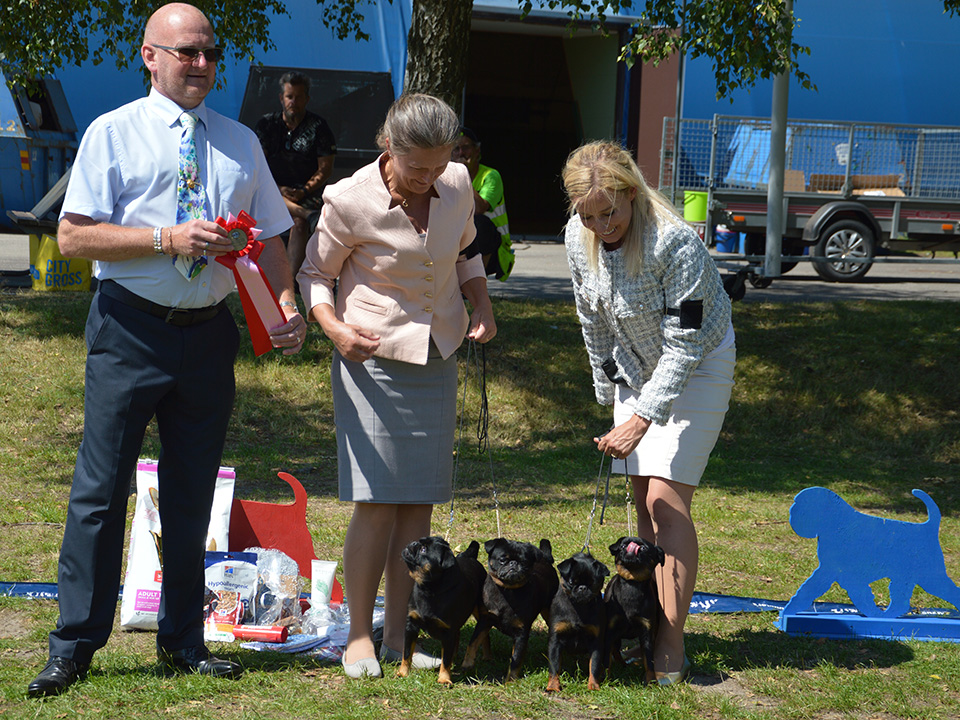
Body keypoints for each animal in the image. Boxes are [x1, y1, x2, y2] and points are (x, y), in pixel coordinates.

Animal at [400, 536, 488, 684]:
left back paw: (486, 656)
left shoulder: (447, 633)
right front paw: (402, 673)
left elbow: (445, 660)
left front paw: (444, 679)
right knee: (458, 636)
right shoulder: (411, 626)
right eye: (420, 543)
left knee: (484, 634)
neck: (430, 589)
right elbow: (406, 653)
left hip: (480, 611)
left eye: (423, 550)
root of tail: (469, 556)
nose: (414, 543)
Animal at [462, 536, 560, 684]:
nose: (513, 563)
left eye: (524, 562)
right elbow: (472, 643)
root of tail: (545, 559)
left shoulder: (521, 634)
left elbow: (516, 660)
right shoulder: (485, 620)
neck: (506, 591)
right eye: (503, 559)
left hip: (548, 611)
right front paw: (467, 663)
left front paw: (510, 682)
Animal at [548, 552, 608, 692]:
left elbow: (594, 665)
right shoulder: (555, 641)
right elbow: (554, 666)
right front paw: (553, 686)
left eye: (593, 583)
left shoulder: (596, 642)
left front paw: (593, 686)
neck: (578, 605)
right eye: (571, 582)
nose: (582, 587)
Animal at [604, 536, 664, 684]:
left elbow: (649, 659)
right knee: (615, 650)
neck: (631, 583)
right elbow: (606, 658)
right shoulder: (610, 631)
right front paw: (605, 679)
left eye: (644, 548)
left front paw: (650, 680)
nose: (631, 545)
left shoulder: (646, 632)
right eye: (622, 546)